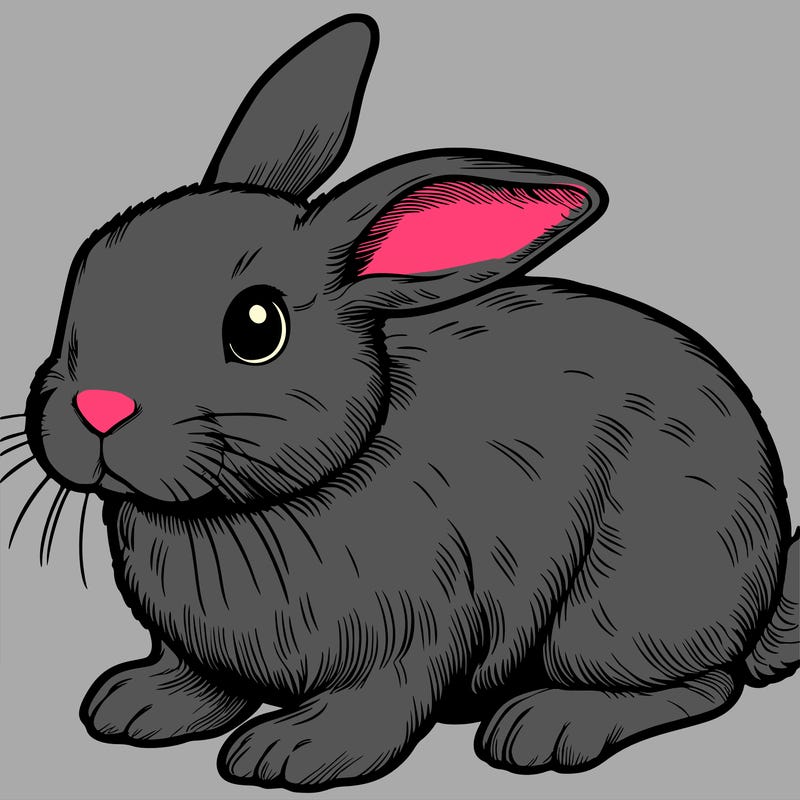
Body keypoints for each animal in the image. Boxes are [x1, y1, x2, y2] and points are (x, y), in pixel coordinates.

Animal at [14, 12, 798, 793]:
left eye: (257, 326)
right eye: (86, 268)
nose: (100, 408)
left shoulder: (415, 629)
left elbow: (381, 700)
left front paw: (293, 751)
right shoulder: (198, 651)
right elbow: (199, 680)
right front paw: (135, 705)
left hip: (622, 605)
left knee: (703, 684)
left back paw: (546, 725)